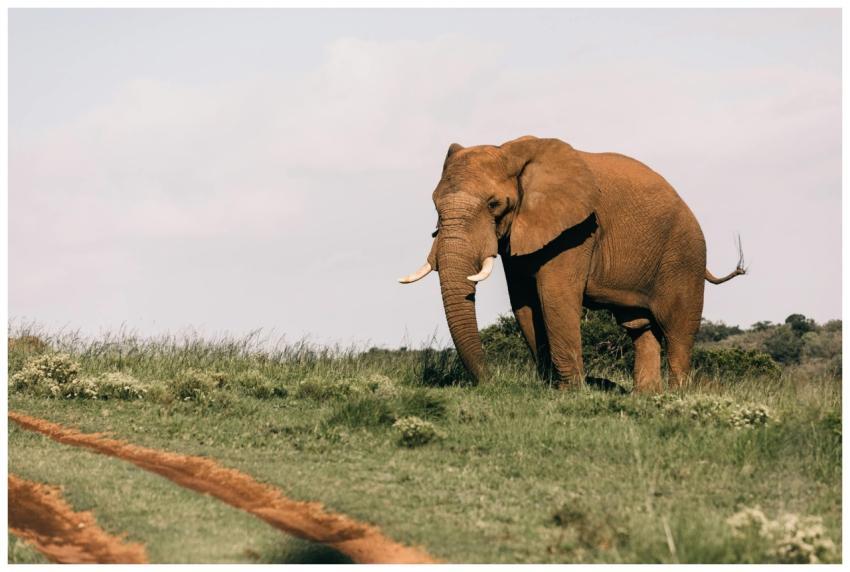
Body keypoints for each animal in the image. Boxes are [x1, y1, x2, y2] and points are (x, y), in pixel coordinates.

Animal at [399, 135, 745, 393]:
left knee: (678, 330)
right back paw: (645, 397)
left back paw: (676, 397)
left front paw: (570, 393)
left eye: (494, 204)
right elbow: (524, 302)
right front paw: (551, 387)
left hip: (685, 256)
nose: (490, 382)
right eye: (434, 204)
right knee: (640, 328)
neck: (511, 152)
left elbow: (555, 296)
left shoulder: (577, 230)